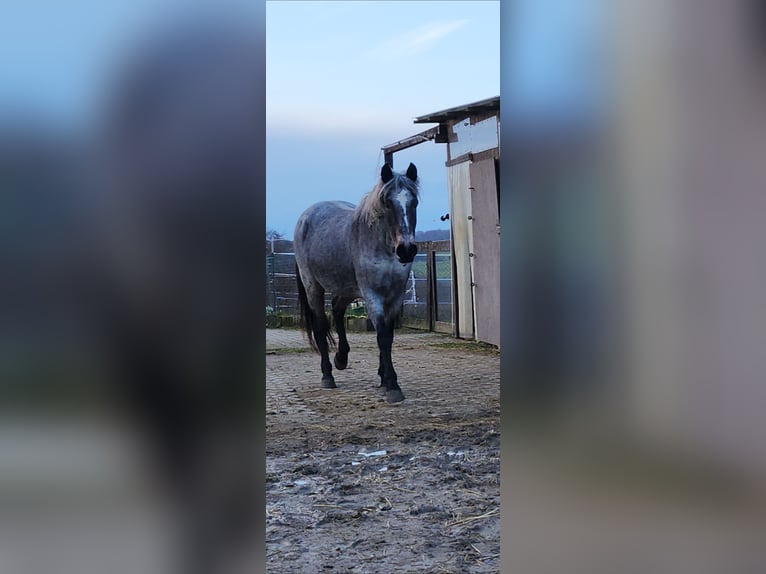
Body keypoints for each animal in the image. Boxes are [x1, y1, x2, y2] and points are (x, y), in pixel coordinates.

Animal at [296, 163, 424, 404]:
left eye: (414, 202)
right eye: (387, 203)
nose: (406, 249)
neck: (383, 246)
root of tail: (306, 216)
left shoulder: (395, 294)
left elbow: (389, 335)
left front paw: (383, 378)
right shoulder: (372, 293)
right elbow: (383, 335)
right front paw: (392, 385)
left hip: (347, 288)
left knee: (337, 310)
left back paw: (341, 358)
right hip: (313, 287)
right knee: (320, 327)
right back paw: (327, 376)